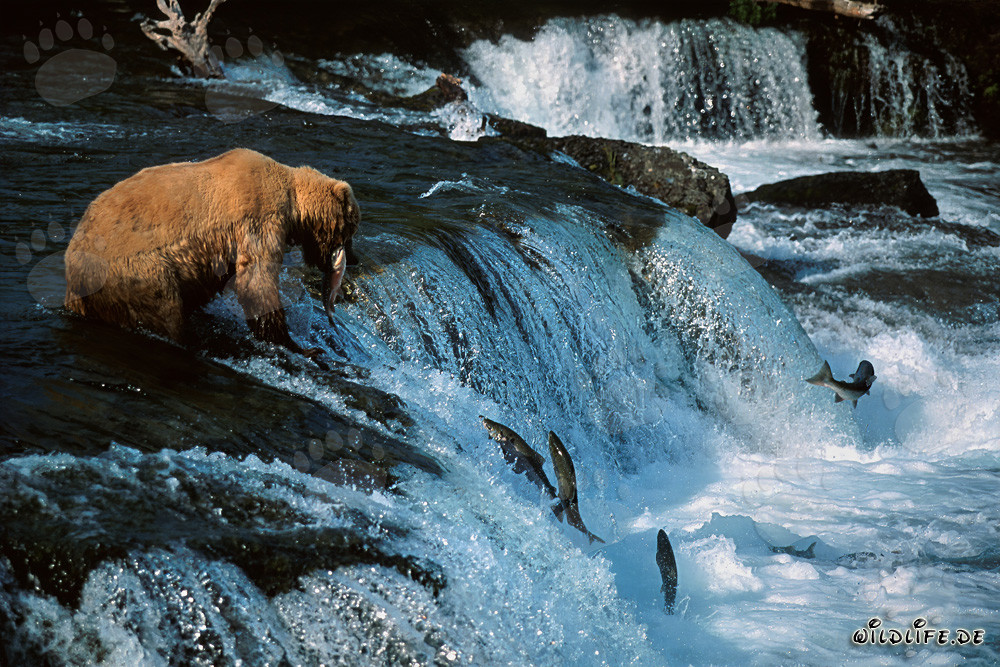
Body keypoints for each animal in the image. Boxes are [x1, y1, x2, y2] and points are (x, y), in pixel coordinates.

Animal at [64, 148, 359, 365]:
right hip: (134, 269)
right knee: (165, 310)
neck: (292, 202)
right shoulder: (259, 218)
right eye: (352, 228)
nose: (354, 260)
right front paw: (302, 347)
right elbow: (256, 281)